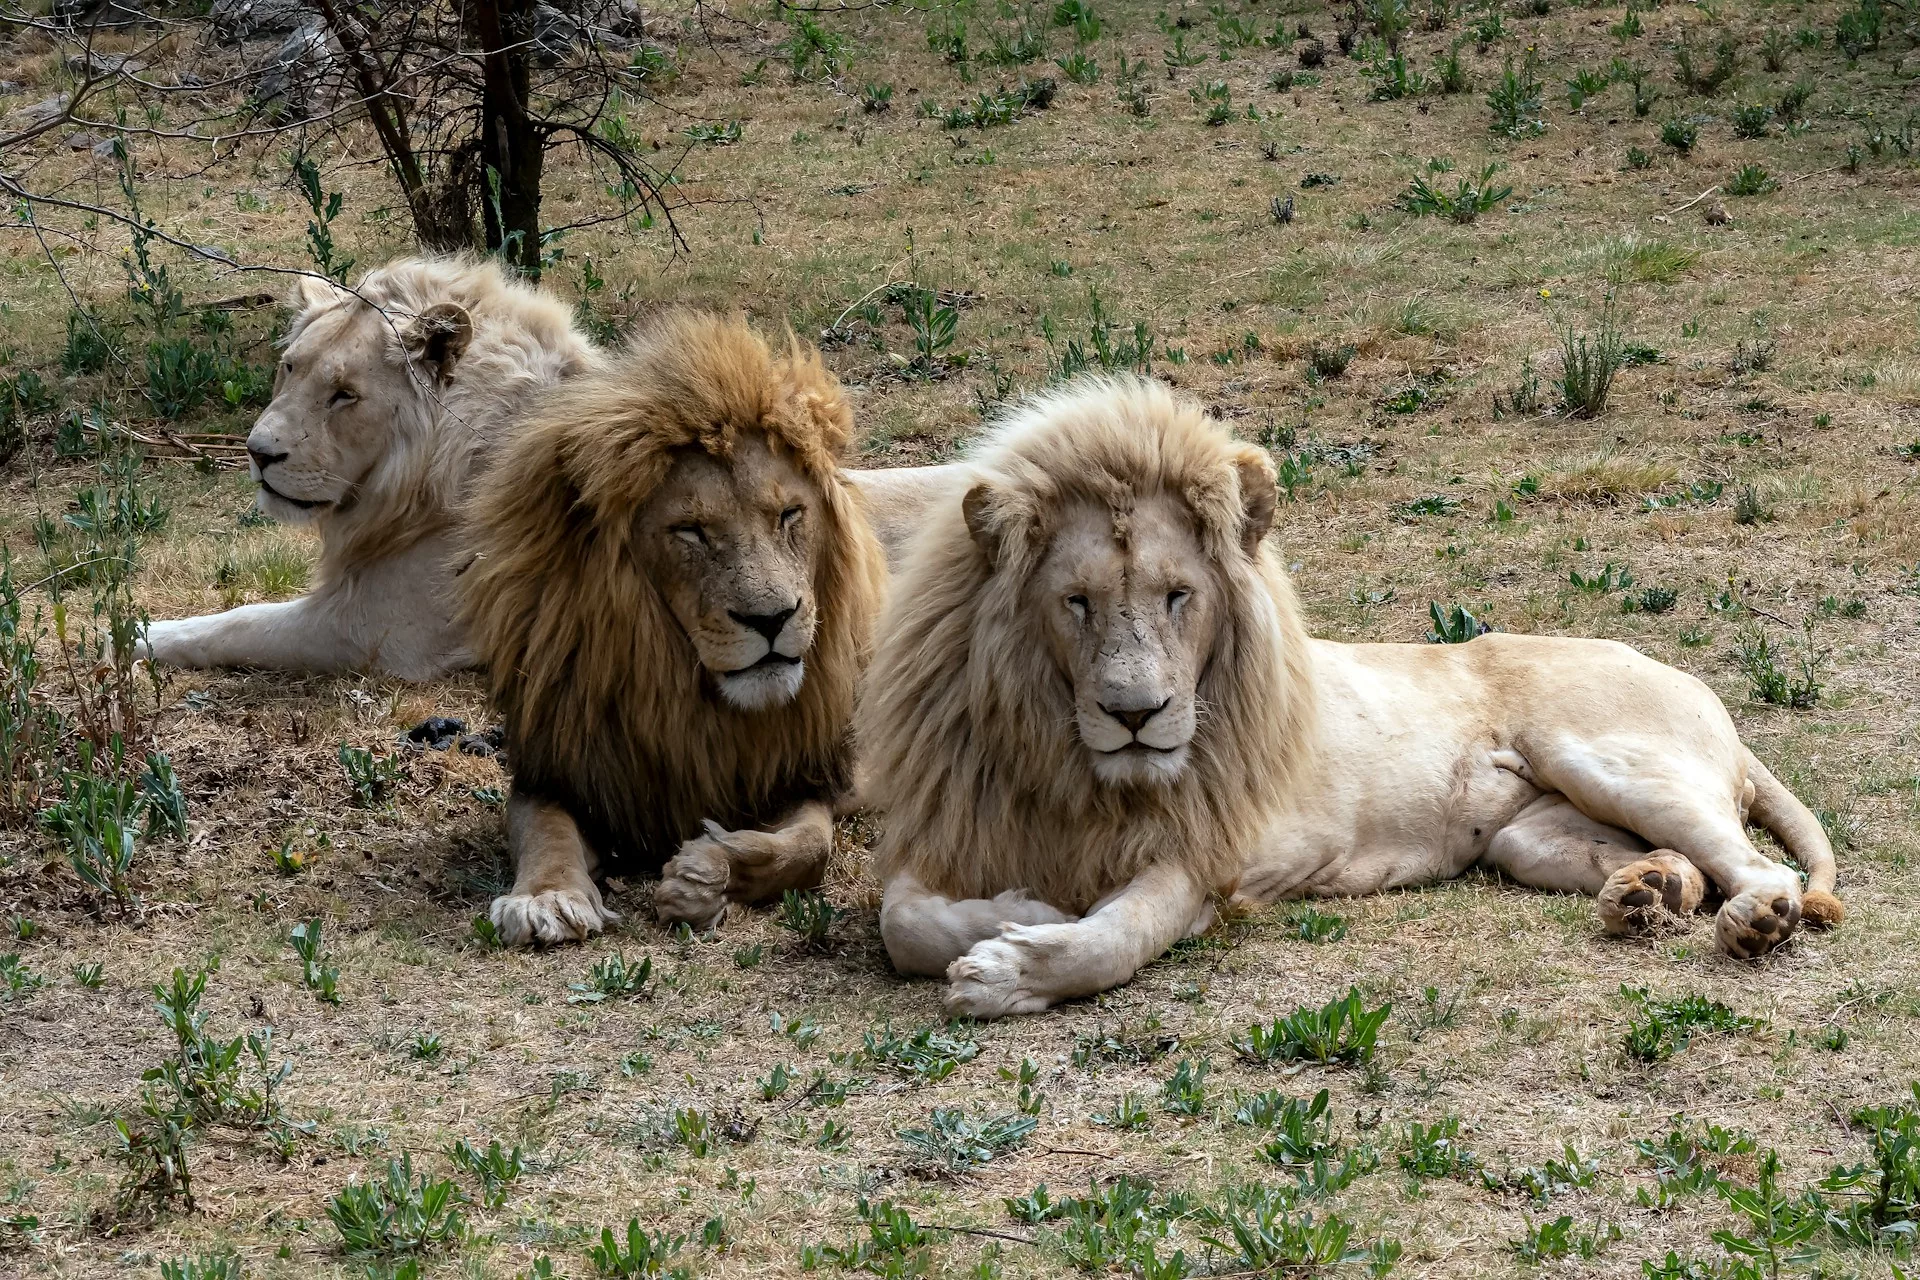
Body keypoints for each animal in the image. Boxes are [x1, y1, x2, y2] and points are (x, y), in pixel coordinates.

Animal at [140, 256, 603, 680]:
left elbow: (240, 623)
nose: (257, 453)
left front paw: (138, 635)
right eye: (290, 367)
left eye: (344, 394)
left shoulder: (382, 627)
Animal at [459, 310, 890, 946]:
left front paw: (706, 872)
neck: (690, 703)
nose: (772, 619)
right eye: (690, 531)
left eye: (789, 515)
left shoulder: (811, 776)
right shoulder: (559, 772)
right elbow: (546, 834)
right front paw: (547, 898)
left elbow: (810, 846)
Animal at [861, 377, 1845, 1018]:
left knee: (1763, 870)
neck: (1071, 767)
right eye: (1077, 602)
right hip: (1530, 839)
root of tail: (1696, 687)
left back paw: (1754, 923)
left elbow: (1114, 937)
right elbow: (903, 922)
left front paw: (1011, 965)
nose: (1134, 716)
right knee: (1687, 870)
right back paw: (1643, 896)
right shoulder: (953, 826)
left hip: (1613, 760)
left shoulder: (1209, 858)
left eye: (1179, 596)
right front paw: (1022, 911)